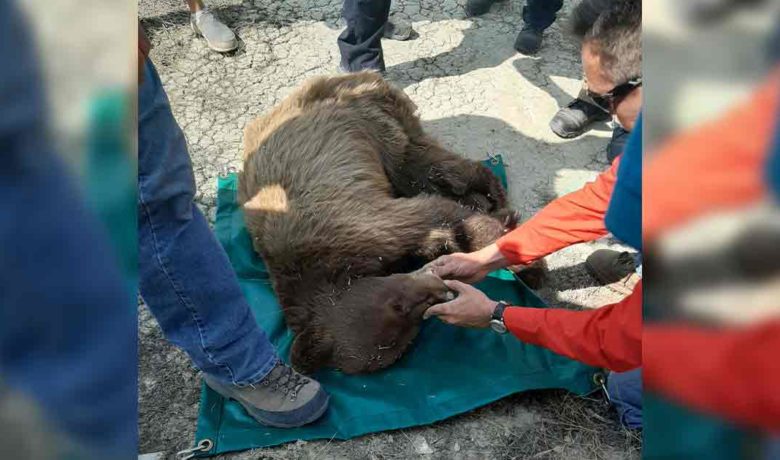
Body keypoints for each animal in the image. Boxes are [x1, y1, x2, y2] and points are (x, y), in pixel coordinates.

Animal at [239, 72, 517, 374]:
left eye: (398, 307)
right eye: (407, 316)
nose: (439, 291)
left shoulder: (349, 225)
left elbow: (434, 215)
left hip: (377, 128)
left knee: (425, 166)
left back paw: (496, 198)